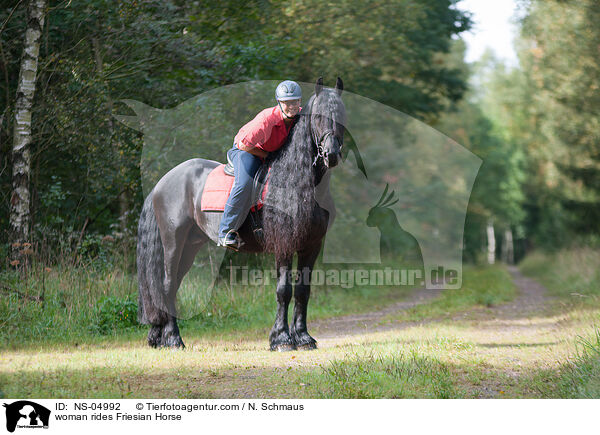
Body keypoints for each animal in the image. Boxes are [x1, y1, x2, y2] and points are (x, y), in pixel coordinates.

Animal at [134, 77, 344, 350]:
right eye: (318, 117)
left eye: (342, 114)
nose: (332, 155)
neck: (297, 183)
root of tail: (162, 183)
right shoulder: (284, 245)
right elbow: (283, 290)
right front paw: (282, 338)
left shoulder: (312, 246)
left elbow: (302, 291)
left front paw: (304, 337)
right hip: (173, 243)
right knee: (167, 286)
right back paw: (173, 338)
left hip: (190, 245)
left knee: (171, 286)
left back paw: (159, 336)